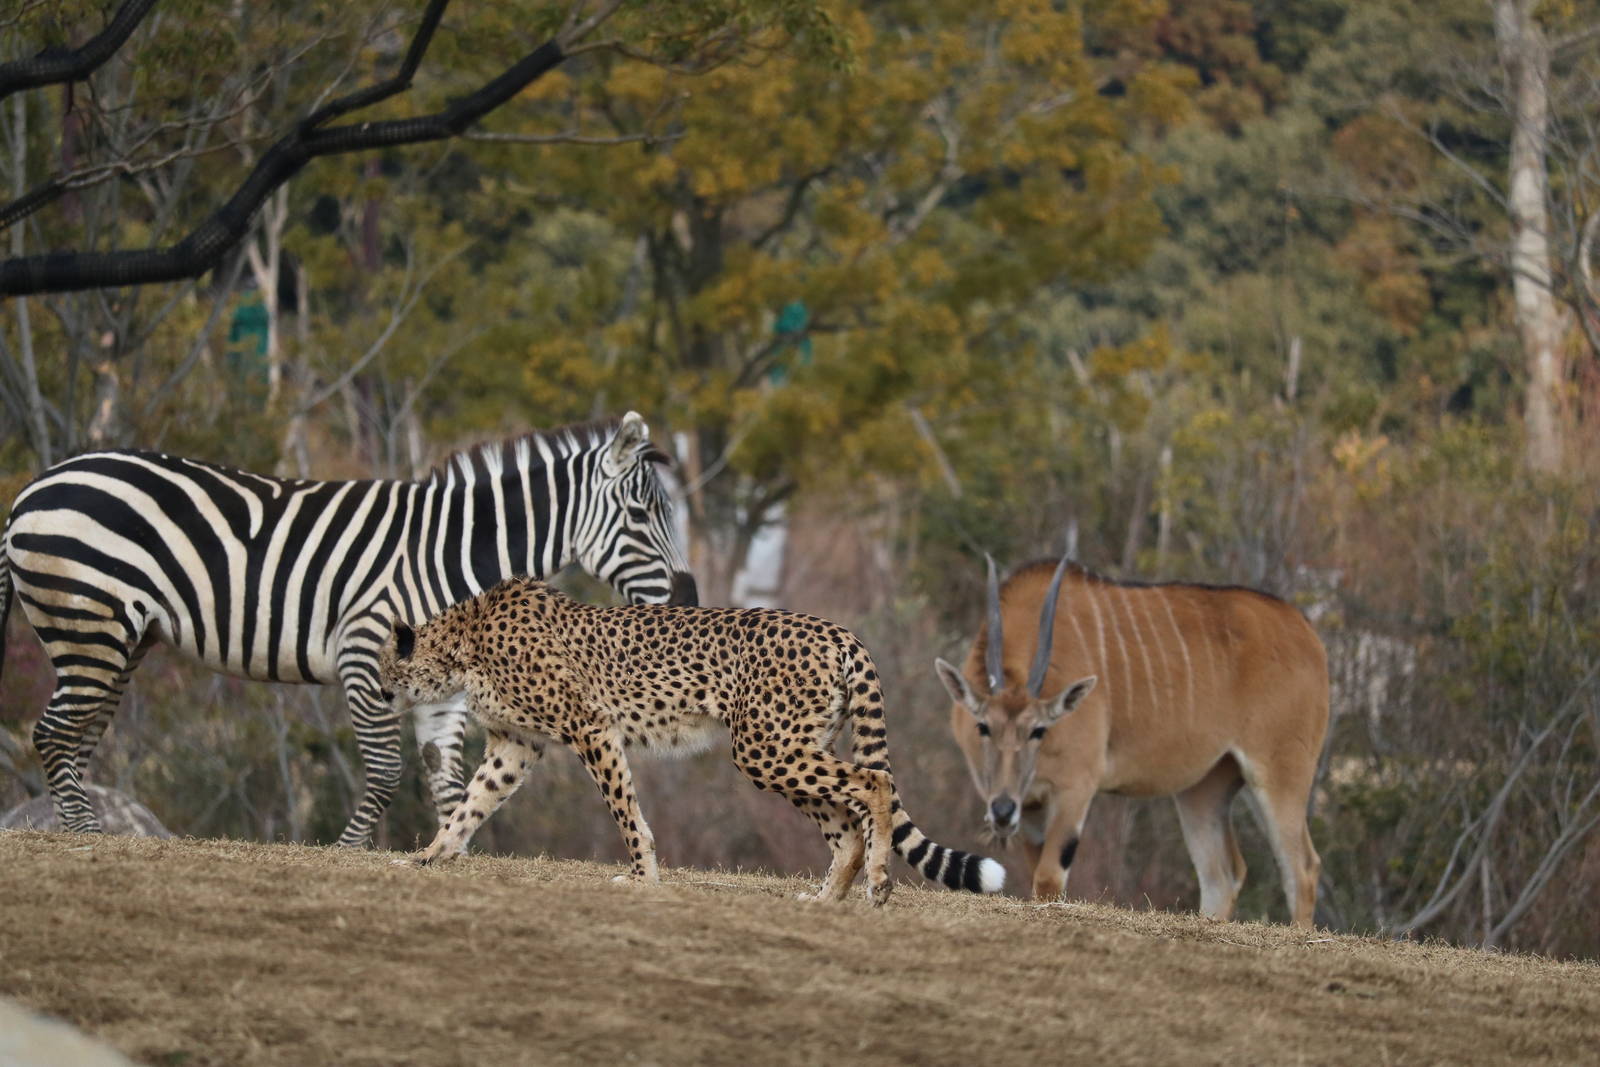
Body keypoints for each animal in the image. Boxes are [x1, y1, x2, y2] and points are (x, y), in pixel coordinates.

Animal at [375, 576, 1005, 905]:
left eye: (384, 667)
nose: (379, 694)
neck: (463, 642)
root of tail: (837, 630)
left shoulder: (590, 727)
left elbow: (625, 811)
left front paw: (642, 878)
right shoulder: (517, 746)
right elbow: (470, 805)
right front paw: (429, 856)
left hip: (765, 747)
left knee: (873, 783)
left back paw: (876, 883)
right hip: (784, 747)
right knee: (846, 820)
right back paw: (827, 899)